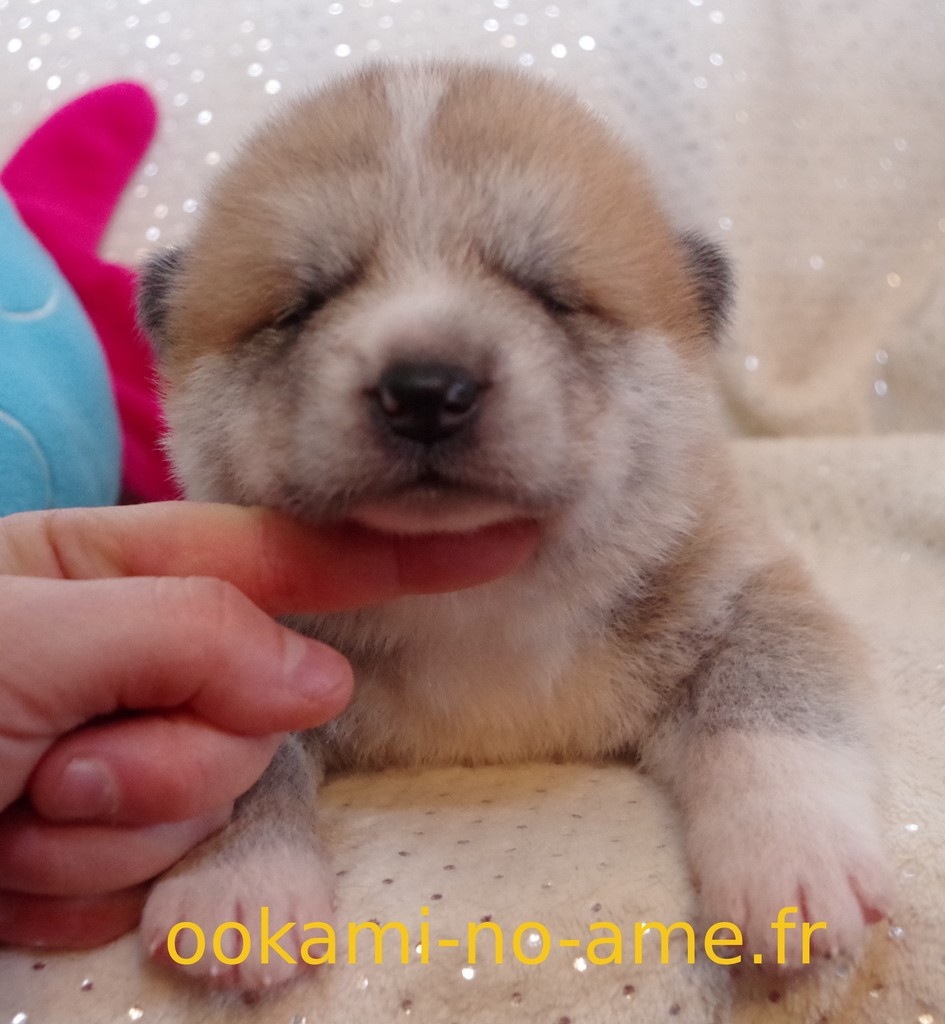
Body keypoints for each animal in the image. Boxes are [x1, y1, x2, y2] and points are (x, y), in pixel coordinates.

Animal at [138, 60, 891, 989]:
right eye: (303, 306)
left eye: (549, 293)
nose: (426, 389)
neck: (471, 595)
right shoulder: (244, 629)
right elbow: (244, 767)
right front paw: (236, 883)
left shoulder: (739, 588)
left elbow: (771, 706)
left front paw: (792, 858)